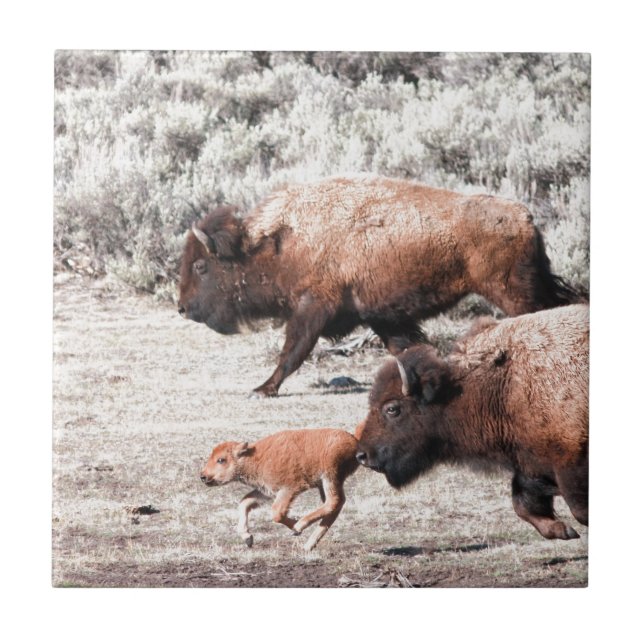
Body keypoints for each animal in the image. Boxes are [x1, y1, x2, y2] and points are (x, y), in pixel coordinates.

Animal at [178, 175, 582, 397]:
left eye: (200, 266)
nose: (182, 307)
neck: (278, 241)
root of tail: (525, 217)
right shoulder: (382, 315)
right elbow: (405, 349)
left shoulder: (313, 307)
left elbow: (292, 351)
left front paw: (263, 389)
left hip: (513, 293)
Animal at [356, 304, 589, 541]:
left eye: (392, 409)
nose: (362, 455)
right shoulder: (530, 463)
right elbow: (523, 504)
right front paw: (564, 531)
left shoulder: (569, 461)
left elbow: (579, 510)